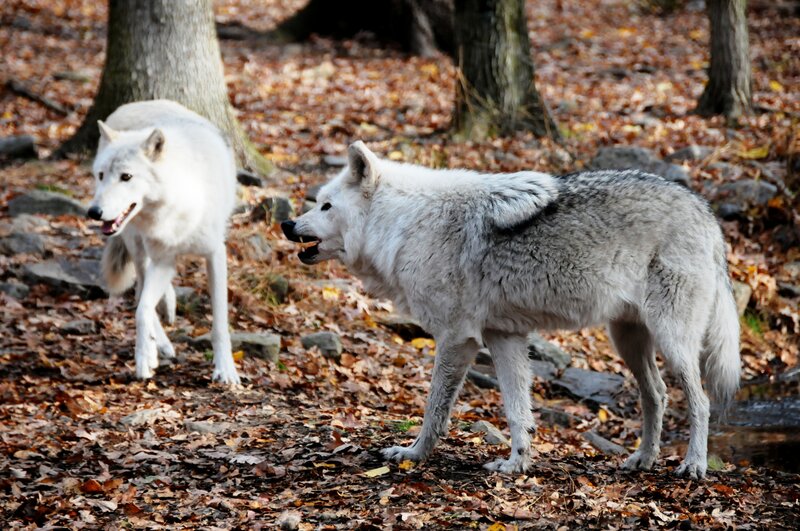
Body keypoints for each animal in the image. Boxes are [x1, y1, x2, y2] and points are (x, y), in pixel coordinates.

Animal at [87, 100, 240, 384]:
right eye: (101, 175)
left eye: (126, 177)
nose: (93, 212)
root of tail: (133, 104)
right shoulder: (162, 259)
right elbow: (142, 309)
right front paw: (144, 358)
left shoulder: (214, 254)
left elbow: (220, 324)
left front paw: (226, 370)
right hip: (136, 244)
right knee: (139, 288)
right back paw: (161, 343)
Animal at [282, 141, 741, 479]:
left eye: (325, 206)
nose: (287, 224)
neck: (404, 224)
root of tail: (705, 211)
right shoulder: (504, 337)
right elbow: (518, 411)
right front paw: (517, 463)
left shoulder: (458, 339)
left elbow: (435, 410)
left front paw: (414, 454)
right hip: (627, 339)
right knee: (657, 395)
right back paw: (643, 459)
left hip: (671, 339)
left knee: (700, 401)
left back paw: (693, 465)